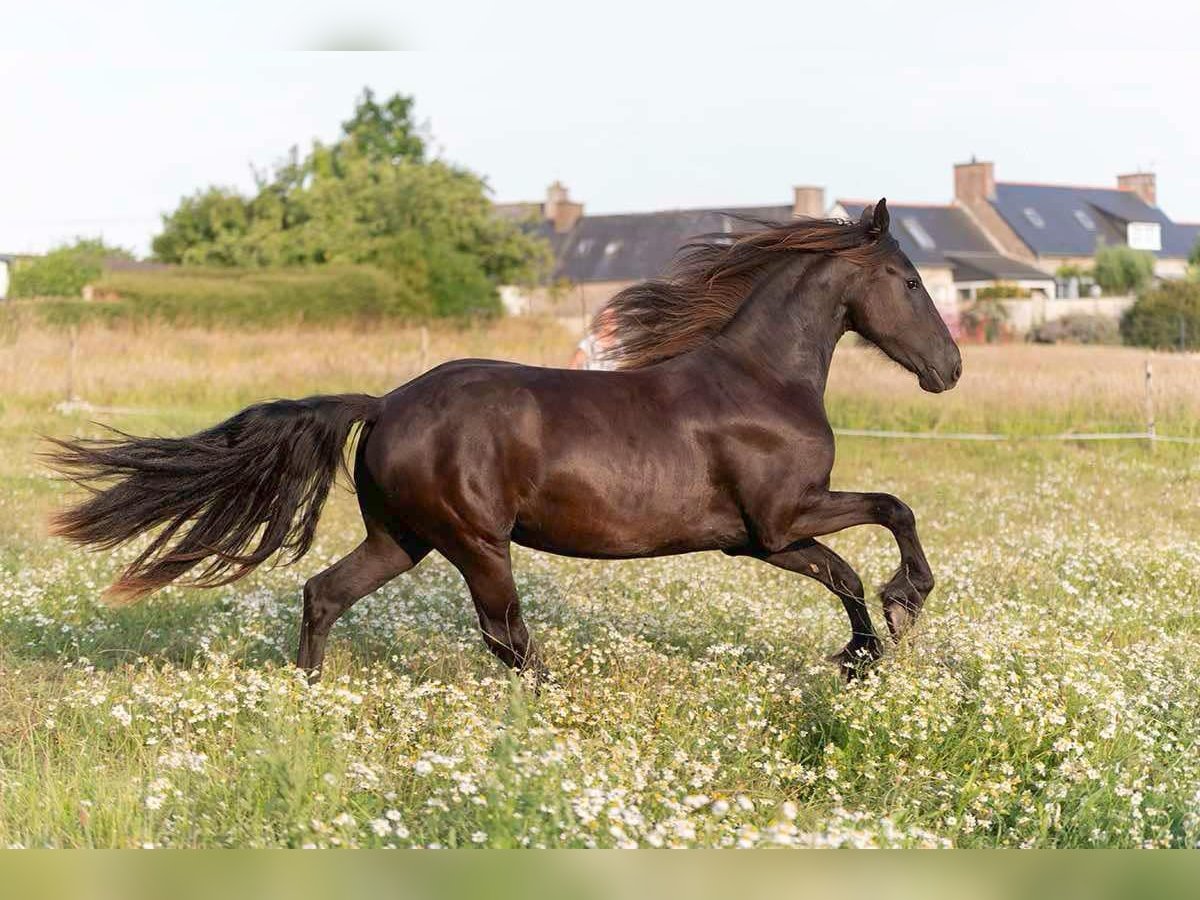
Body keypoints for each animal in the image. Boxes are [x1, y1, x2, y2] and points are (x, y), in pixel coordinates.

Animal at [46, 202, 960, 681]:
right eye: (912, 281)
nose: (948, 368)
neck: (761, 379)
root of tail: (385, 404)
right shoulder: (779, 519)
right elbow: (891, 513)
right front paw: (901, 607)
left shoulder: (756, 539)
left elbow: (844, 570)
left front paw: (862, 654)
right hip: (476, 542)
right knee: (506, 638)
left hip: (403, 538)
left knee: (325, 594)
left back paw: (306, 693)